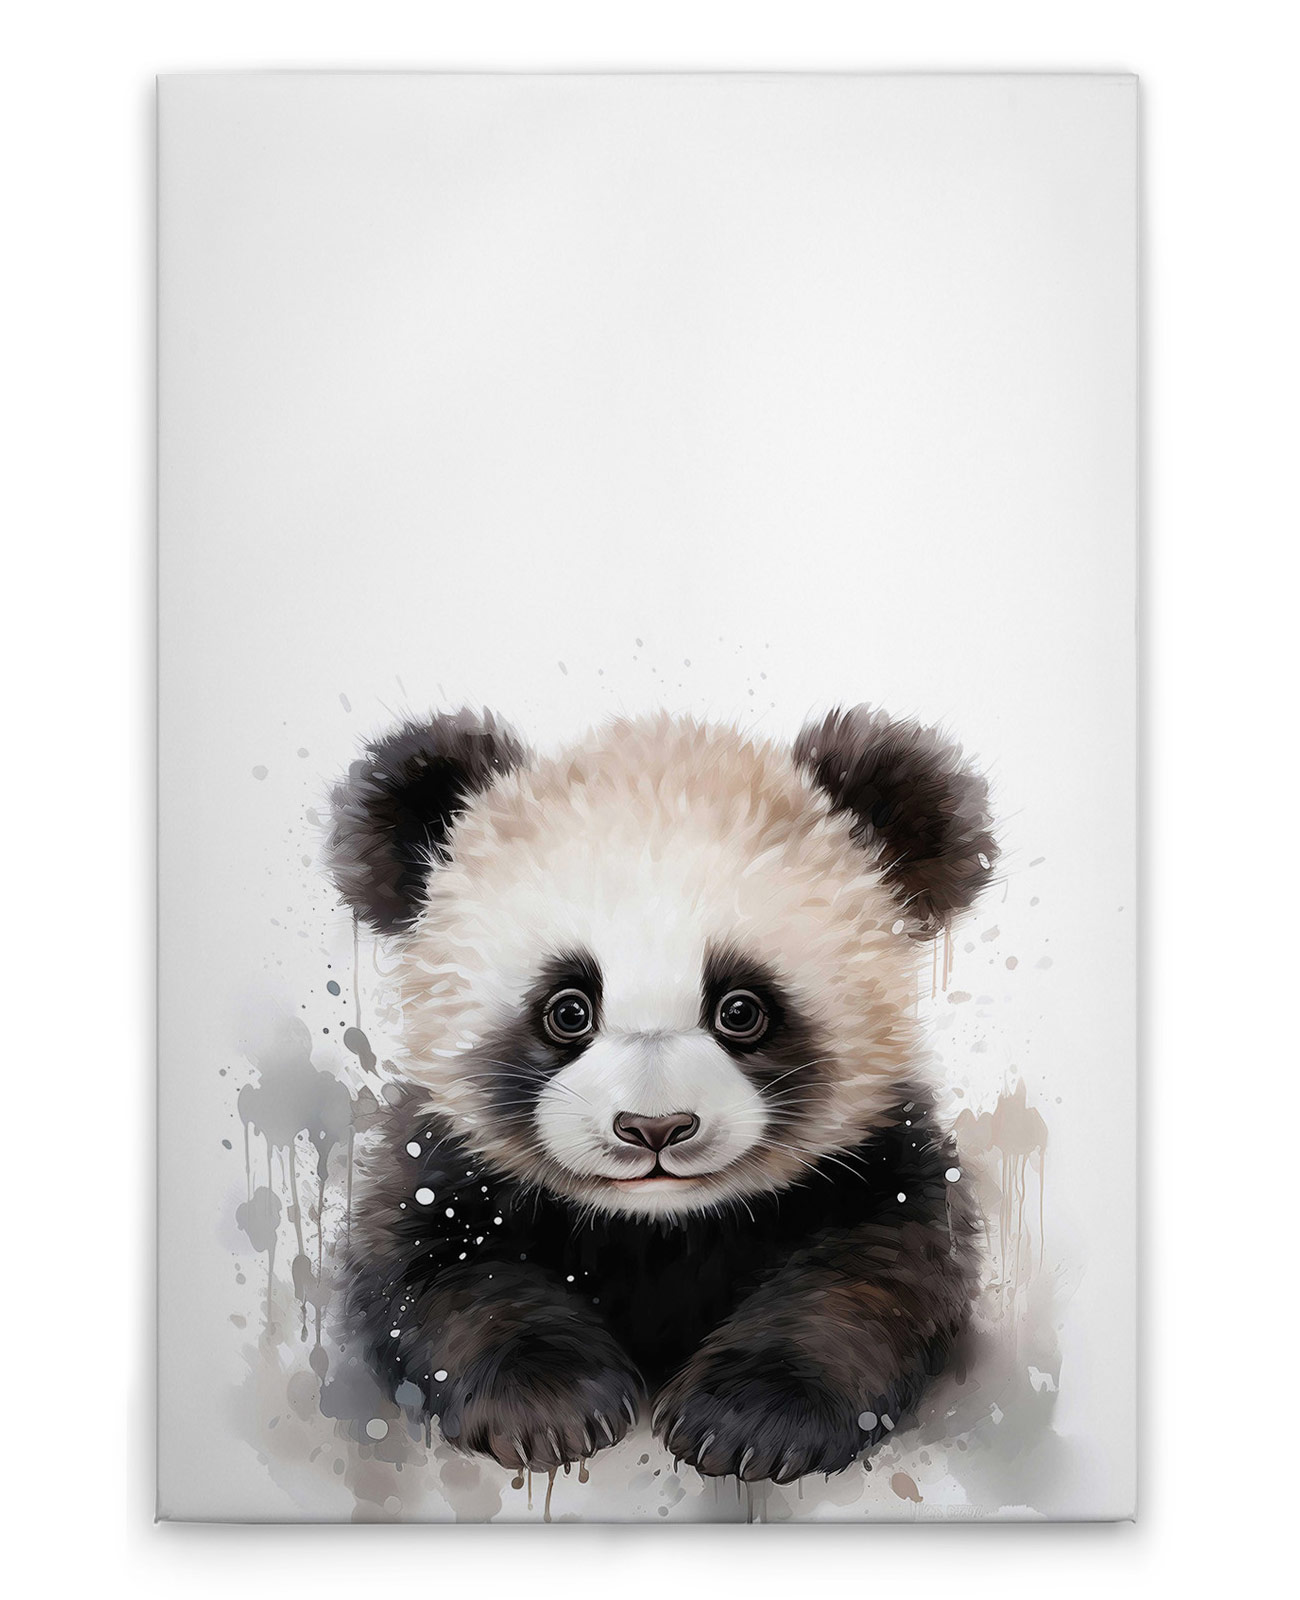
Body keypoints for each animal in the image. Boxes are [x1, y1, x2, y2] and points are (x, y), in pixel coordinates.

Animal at [326, 705, 996, 1484]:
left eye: (741, 1010)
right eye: (567, 1010)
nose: (654, 1128)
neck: (659, 1224)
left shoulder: (879, 1150)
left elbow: (877, 1270)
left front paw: (750, 1419)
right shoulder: (444, 1154)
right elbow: (434, 1267)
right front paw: (547, 1403)